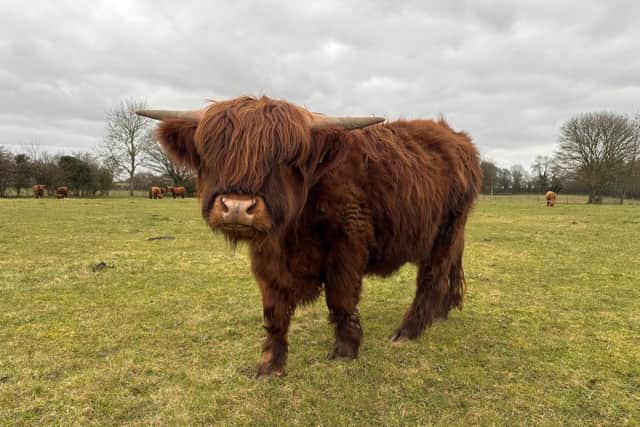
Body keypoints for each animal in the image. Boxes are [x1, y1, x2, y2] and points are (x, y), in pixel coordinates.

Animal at [137, 96, 482, 378]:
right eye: (212, 155)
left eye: (283, 159)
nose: (236, 207)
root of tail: (458, 140)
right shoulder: (267, 260)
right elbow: (274, 311)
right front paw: (270, 364)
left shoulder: (347, 246)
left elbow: (341, 299)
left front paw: (345, 350)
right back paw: (441, 313)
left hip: (445, 232)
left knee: (431, 277)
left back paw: (408, 330)